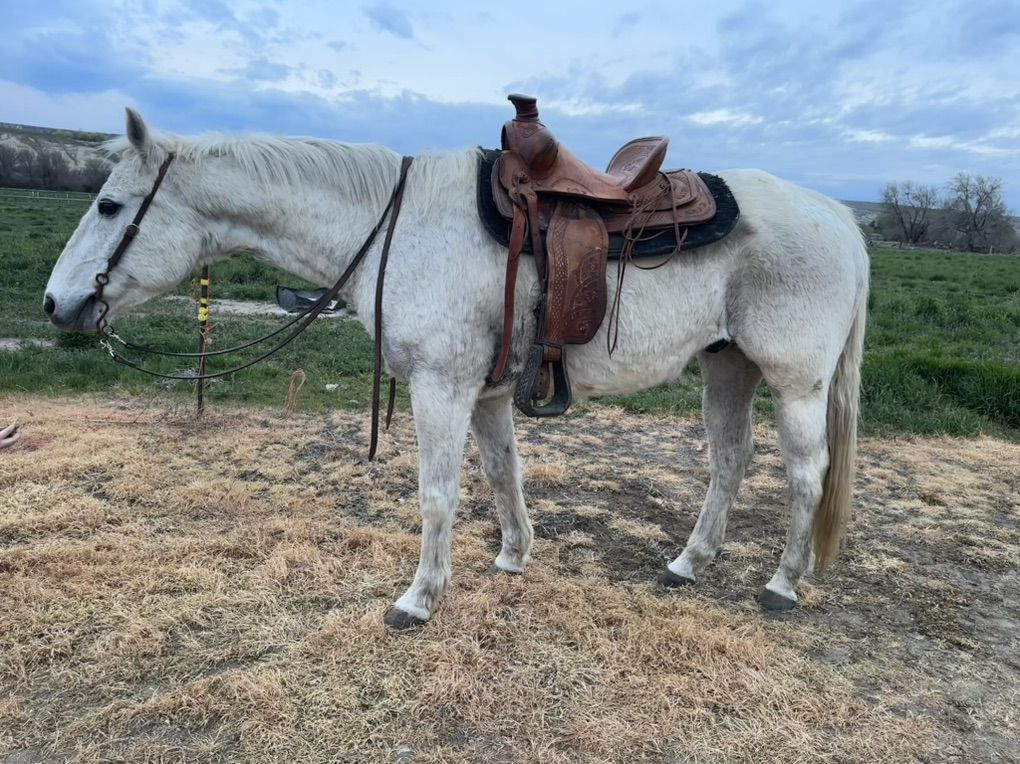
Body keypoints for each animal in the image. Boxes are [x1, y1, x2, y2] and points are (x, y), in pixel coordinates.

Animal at [44, 109, 869, 628]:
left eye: (111, 206)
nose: (56, 303)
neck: (398, 225)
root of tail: (841, 217)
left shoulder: (441, 389)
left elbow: (436, 495)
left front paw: (419, 598)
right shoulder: (489, 393)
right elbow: (504, 475)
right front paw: (513, 556)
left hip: (795, 382)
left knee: (806, 475)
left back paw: (783, 583)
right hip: (729, 367)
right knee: (730, 461)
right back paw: (689, 562)